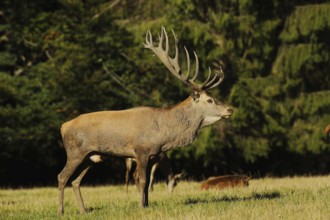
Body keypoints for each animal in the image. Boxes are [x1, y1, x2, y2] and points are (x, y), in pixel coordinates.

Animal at [57, 26, 232, 214]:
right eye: (210, 100)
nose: (229, 109)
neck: (164, 134)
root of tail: (63, 126)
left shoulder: (152, 154)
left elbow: (148, 183)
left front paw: (147, 204)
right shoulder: (141, 151)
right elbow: (142, 181)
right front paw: (141, 206)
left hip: (91, 156)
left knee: (75, 181)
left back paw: (83, 210)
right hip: (75, 152)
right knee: (62, 177)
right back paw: (60, 210)